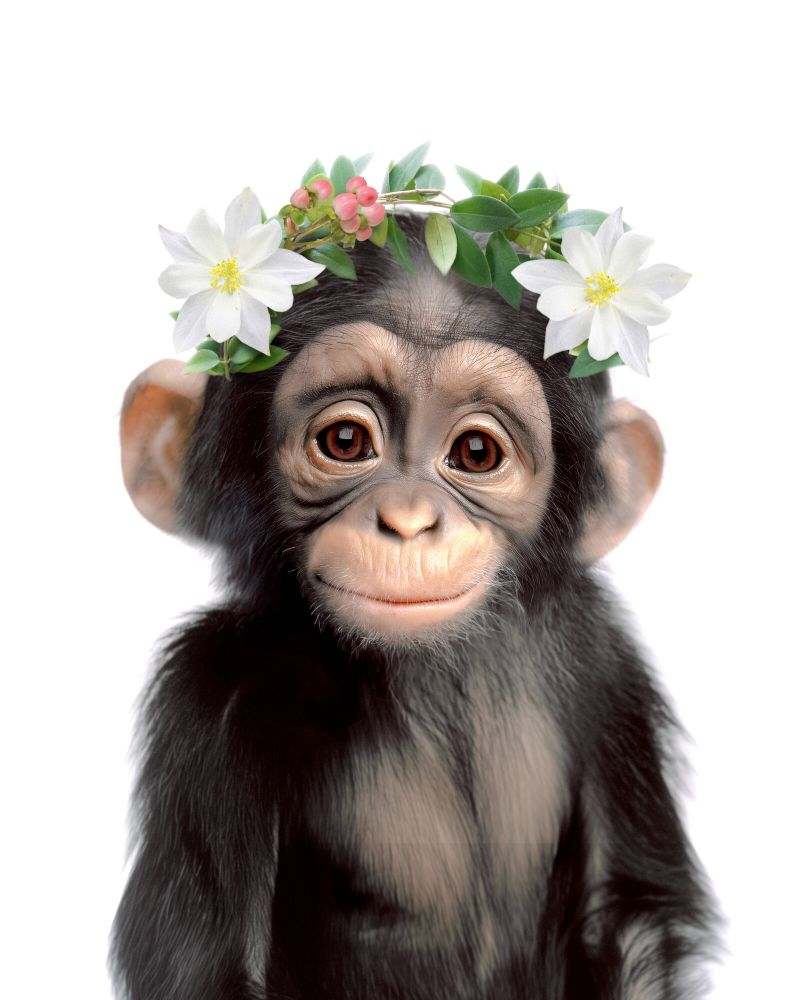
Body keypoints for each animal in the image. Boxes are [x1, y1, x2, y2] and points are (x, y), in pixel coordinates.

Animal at [113, 214, 716, 999]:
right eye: (345, 441)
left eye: (476, 453)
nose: (407, 520)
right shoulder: (206, 699)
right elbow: (214, 971)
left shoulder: (606, 662)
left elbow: (627, 909)